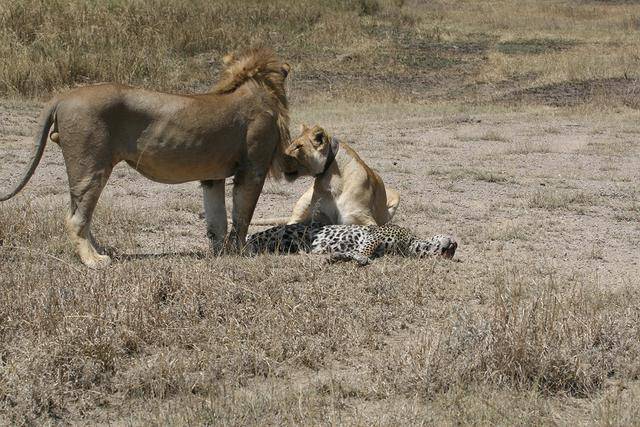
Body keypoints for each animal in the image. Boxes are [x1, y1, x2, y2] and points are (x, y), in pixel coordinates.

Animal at [1, 46, 292, 268]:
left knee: (79, 212)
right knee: (75, 218)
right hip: (91, 166)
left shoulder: (213, 176)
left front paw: (221, 252)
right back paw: (94, 261)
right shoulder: (253, 168)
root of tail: (63, 97)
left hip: (84, 169)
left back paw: (100, 251)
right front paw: (242, 252)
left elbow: (217, 219)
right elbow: (242, 216)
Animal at [255, 125, 400, 227]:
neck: (331, 181)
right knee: (291, 221)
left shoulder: (361, 217)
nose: (276, 160)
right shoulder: (318, 217)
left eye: (299, 146)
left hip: (396, 195)